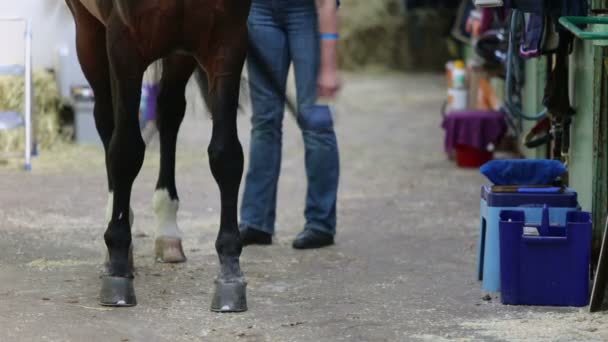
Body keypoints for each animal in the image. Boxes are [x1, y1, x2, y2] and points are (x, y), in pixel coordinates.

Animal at [64, 0, 249, 312]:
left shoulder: (228, 39)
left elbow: (226, 155)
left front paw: (230, 272)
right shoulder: (123, 42)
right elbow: (125, 151)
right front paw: (117, 264)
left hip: (178, 52)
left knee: (169, 110)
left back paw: (168, 231)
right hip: (88, 31)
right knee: (107, 119)